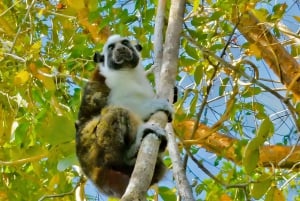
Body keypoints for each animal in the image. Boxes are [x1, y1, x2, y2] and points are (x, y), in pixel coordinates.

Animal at [75, 35, 173, 198]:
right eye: (111, 47)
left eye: (125, 43)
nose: (120, 49)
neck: (128, 71)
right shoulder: (113, 82)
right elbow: (120, 103)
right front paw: (153, 105)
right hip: (91, 147)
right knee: (116, 112)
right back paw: (128, 155)